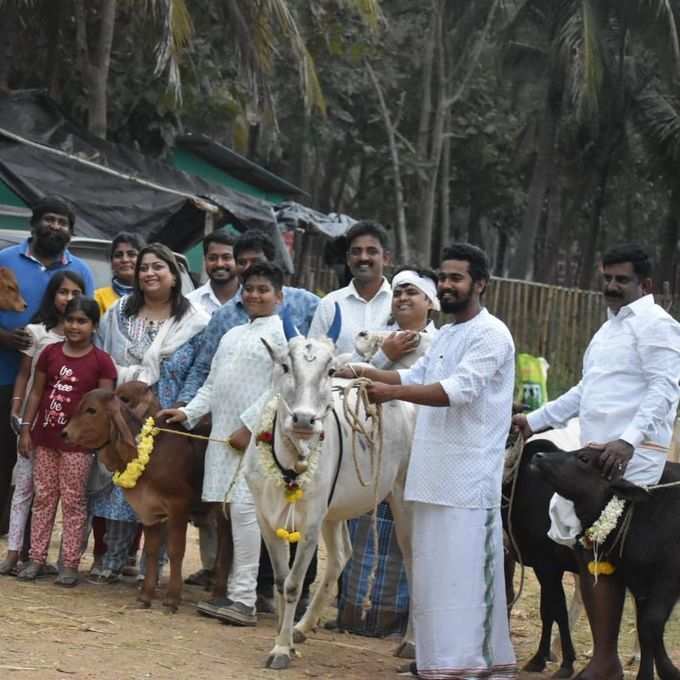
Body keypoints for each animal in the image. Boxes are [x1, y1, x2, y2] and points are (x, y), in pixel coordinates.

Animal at [62, 388, 202, 612]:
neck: (152, 454)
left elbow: (175, 551)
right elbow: (151, 551)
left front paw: (172, 599)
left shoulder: (179, 507)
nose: (64, 433)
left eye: (92, 410)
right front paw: (146, 595)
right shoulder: (150, 511)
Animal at [244, 310, 414, 672]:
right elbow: (280, 581)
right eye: (285, 365)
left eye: (330, 370)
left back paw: (410, 642)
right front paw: (285, 639)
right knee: (340, 556)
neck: (290, 461)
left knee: (413, 562)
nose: (304, 420)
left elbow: (294, 584)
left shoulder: (309, 523)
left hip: (404, 501)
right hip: (334, 513)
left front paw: (281, 649)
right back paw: (302, 627)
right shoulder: (266, 516)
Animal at [502, 438, 576, 676]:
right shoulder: (543, 566)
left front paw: (566, 663)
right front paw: (540, 658)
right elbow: (547, 610)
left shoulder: (547, 565)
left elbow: (557, 610)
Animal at [532, 446, 680, 680]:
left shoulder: (668, 579)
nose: (539, 456)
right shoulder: (637, 581)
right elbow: (645, 629)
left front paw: (665, 671)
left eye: (584, 458)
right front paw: (656, 672)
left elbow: (651, 624)